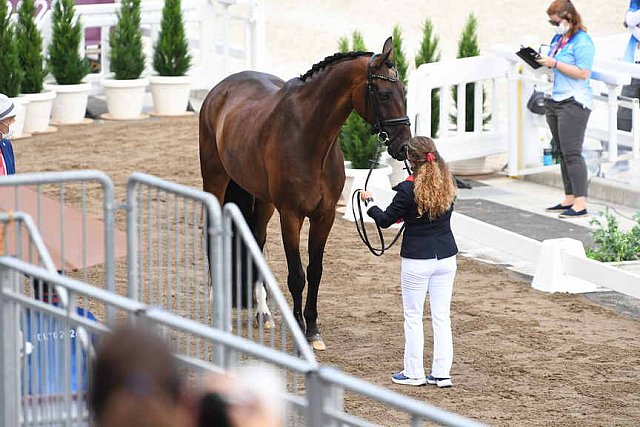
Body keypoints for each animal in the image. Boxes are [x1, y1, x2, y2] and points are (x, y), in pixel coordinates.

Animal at [199, 36, 410, 352]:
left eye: (404, 91)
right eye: (384, 94)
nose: (404, 147)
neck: (310, 137)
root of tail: (219, 90)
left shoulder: (324, 216)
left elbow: (315, 271)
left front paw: (312, 330)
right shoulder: (291, 215)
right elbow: (297, 276)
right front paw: (300, 331)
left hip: (262, 200)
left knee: (257, 240)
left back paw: (263, 312)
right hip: (215, 181)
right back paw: (217, 305)